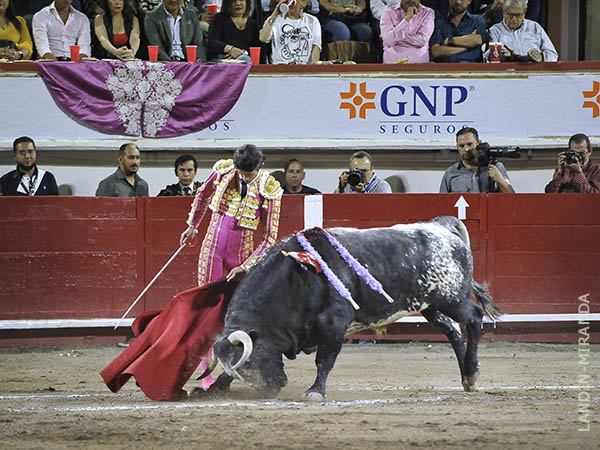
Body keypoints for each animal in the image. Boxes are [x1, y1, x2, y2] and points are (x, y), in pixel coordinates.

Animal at [207, 216, 501, 401]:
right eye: (243, 369)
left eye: (253, 360)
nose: (272, 389)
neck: (298, 276)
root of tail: (440, 227)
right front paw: (216, 387)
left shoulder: (334, 323)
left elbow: (324, 360)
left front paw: (316, 391)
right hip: (431, 305)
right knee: (453, 331)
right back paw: (467, 378)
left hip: (451, 298)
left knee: (473, 317)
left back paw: (473, 373)